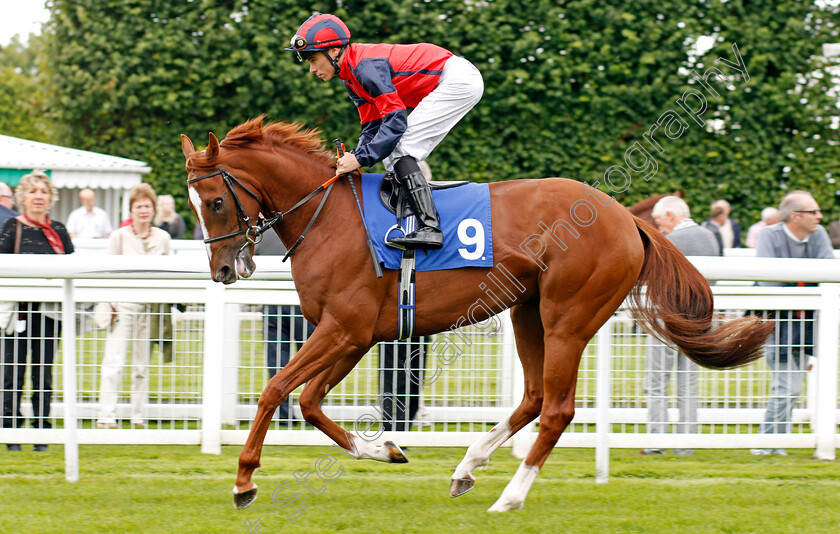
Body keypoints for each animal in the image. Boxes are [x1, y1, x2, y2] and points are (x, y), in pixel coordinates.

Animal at [180, 118, 772, 516]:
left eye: (214, 202)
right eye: (192, 205)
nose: (223, 269)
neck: (328, 217)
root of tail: (628, 218)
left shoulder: (344, 327)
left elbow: (276, 390)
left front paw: (244, 482)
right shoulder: (354, 334)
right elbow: (308, 402)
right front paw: (383, 448)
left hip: (568, 315)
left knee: (558, 408)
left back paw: (509, 496)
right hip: (529, 310)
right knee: (534, 397)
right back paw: (468, 466)